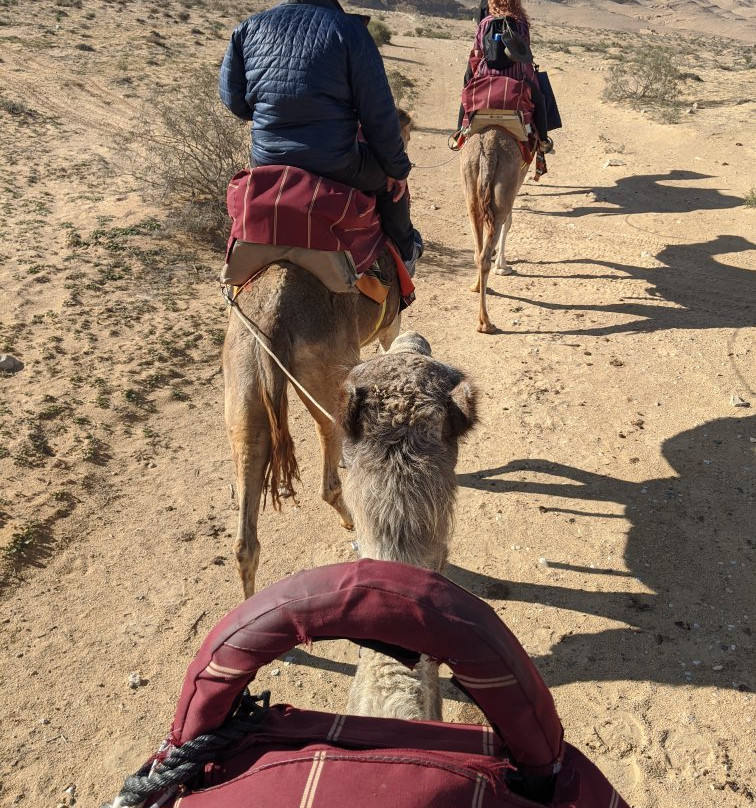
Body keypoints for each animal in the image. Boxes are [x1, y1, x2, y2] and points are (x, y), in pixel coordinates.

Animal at [223, 115, 413, 598]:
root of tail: (272, 316)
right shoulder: (389, 327)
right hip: (323, 374)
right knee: (329, 471)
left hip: (243, 381)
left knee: (245, 533)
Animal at [460, 127, 529, 333]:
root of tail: (488, 151)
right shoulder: (520, 174)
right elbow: (509, 222)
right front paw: (503, 265)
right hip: (505, 184)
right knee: (487, 249)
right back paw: (486, 323)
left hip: (471, 185)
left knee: (478, 252)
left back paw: (476, 287)